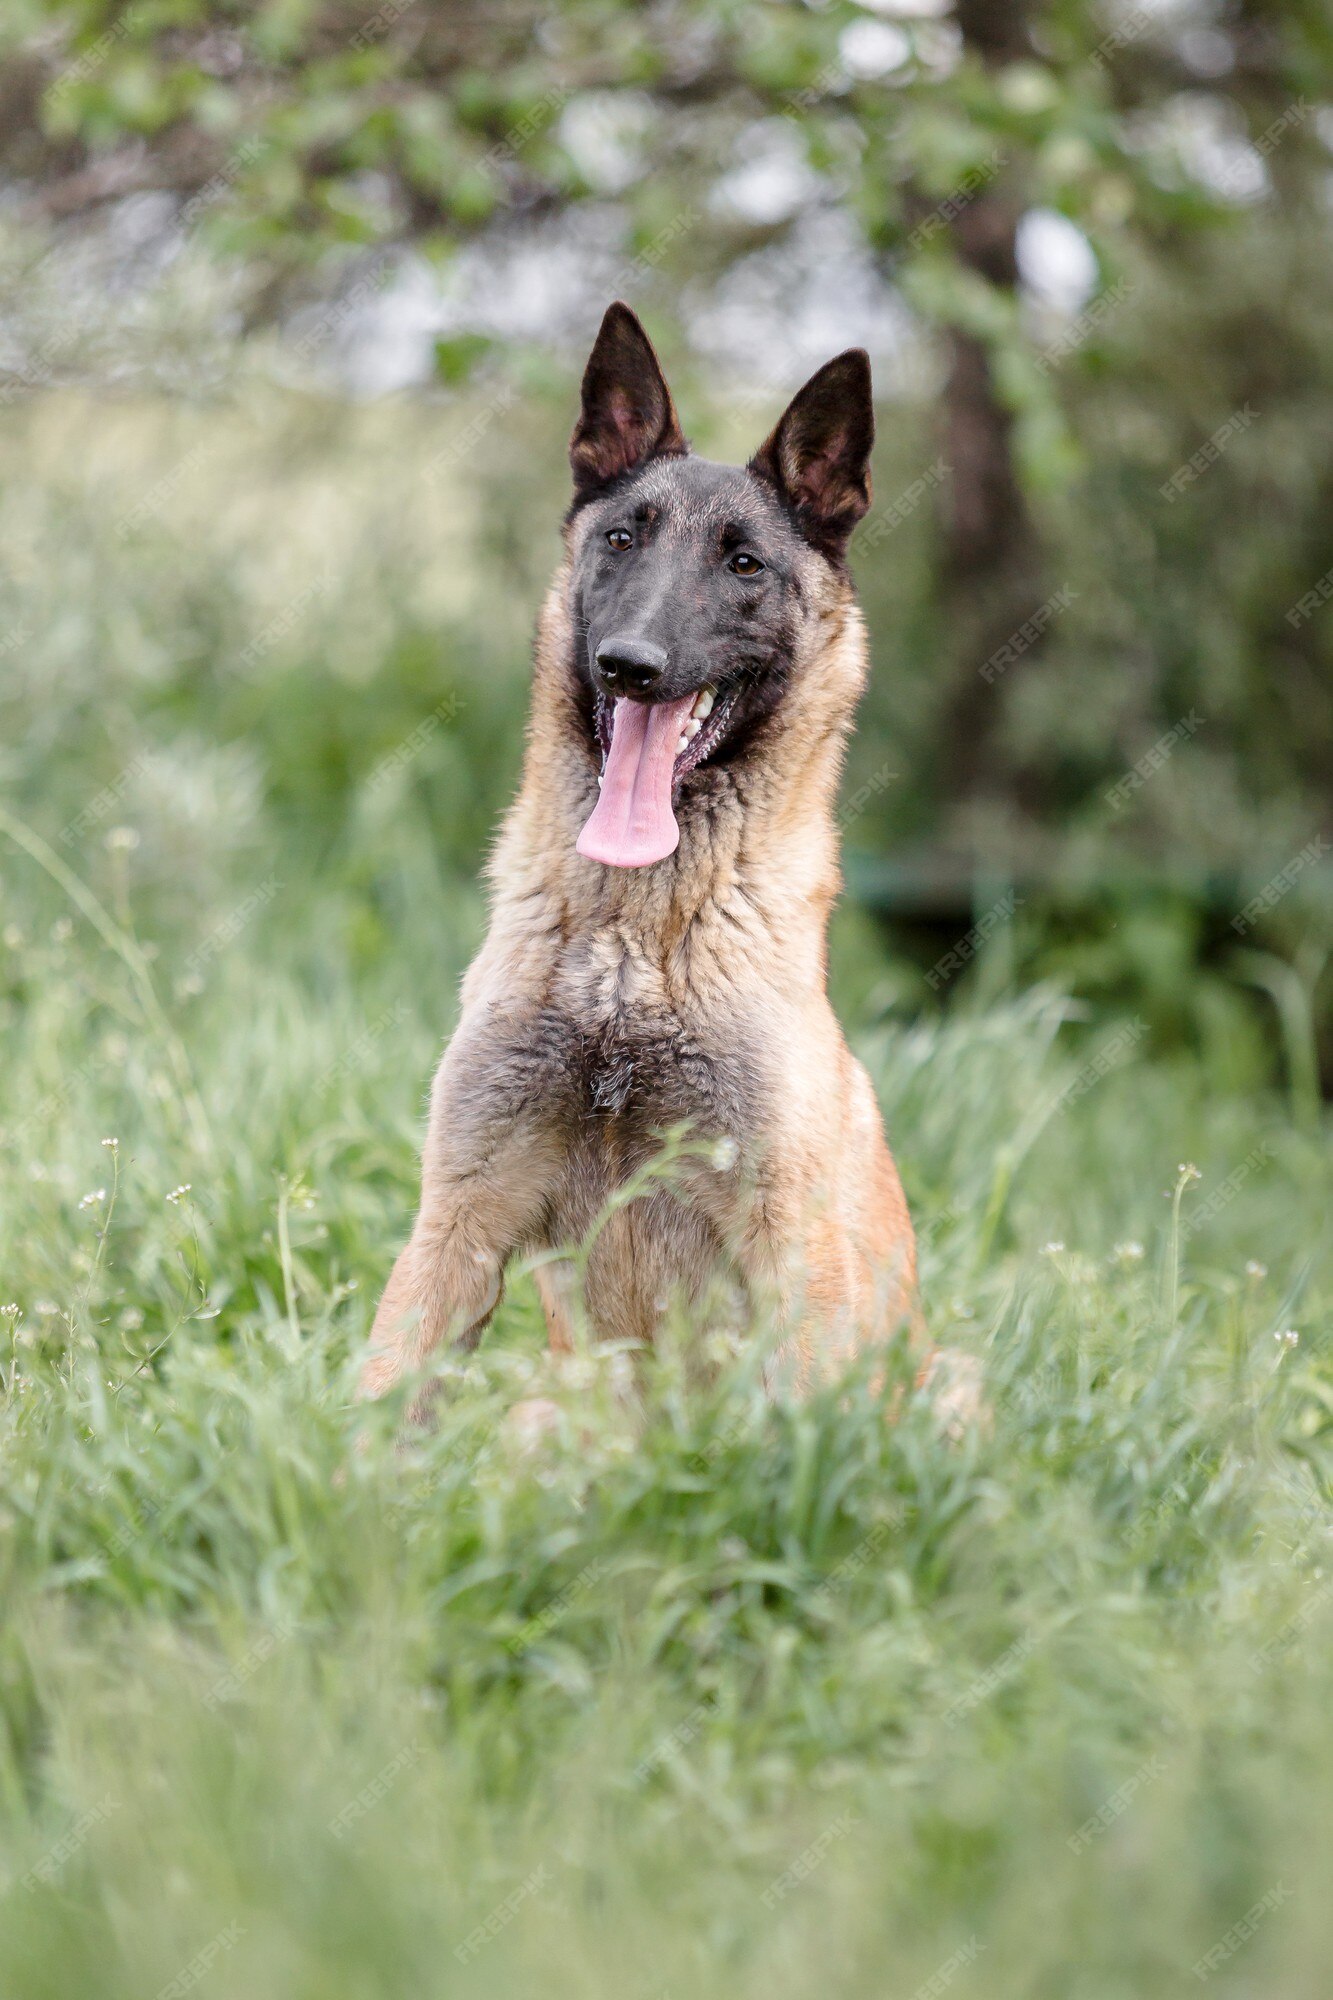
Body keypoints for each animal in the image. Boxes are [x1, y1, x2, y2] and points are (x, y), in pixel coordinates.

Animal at [364, 304, 924, 1416]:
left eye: (743, 565)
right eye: (622, 538)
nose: (629, 664)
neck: (629, 953)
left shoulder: (789, 1247)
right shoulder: (457, 1220)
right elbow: (379, 1389)